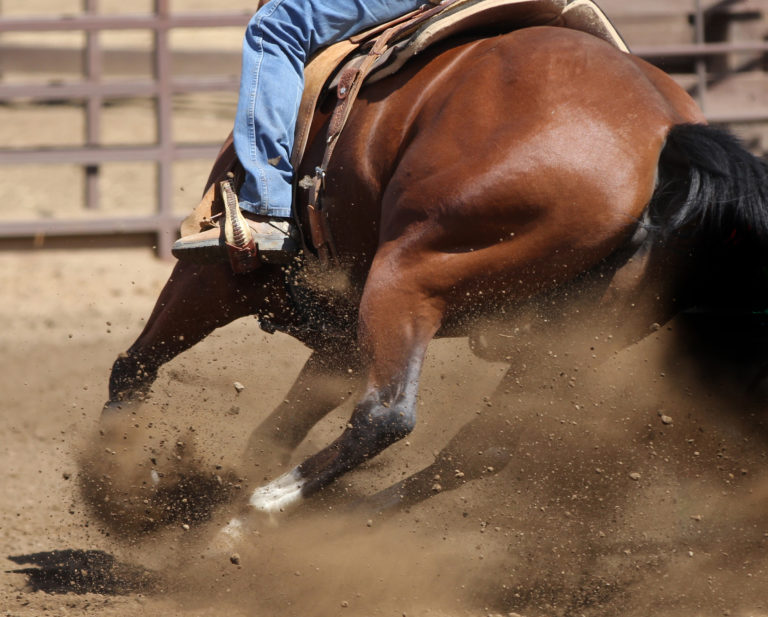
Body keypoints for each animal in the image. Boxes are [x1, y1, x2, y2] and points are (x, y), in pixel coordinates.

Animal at [101, 25, 768, 530]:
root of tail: (665, 136)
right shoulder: (341, 337)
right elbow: (277, 425)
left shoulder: (219, 268)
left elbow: (136, 364)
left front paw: (110, 483)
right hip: (571, 337)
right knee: (483, 446)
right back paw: (346, 517)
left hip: (411, 272)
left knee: (387, 415)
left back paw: (255, 514)